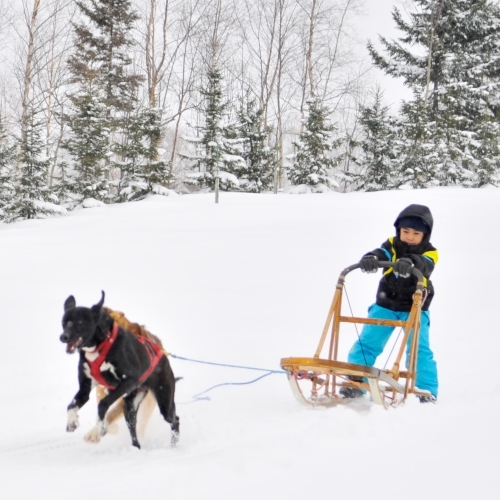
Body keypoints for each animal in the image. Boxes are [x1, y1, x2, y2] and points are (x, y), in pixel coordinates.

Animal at [59, 292, 180, 448]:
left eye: (80, 322)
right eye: (64, 322)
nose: (63, 337)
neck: (101, 345)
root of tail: (162, 354)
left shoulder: (128, 382)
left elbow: (103, 405)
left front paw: (99, 427)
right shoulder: (85, 389)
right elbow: (71, 406)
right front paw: (72, 422)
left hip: (163, 401)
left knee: (174, 420)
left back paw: (173, 445)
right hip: (130, 406)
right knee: (133, 430)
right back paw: (136, 448)